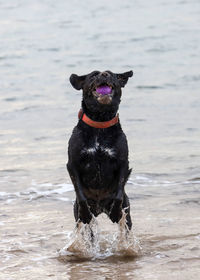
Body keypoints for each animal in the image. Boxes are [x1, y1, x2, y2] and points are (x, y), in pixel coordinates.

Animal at [67, 69, 133, 230]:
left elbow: (119, 190)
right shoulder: (72, 164)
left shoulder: (123, 163)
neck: (100, 122)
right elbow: (79, 191)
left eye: (111, 74)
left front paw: (115, 212)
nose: (104, 74)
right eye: (94, 75)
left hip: (127, 214)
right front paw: (85, 212)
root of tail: (100, 208)